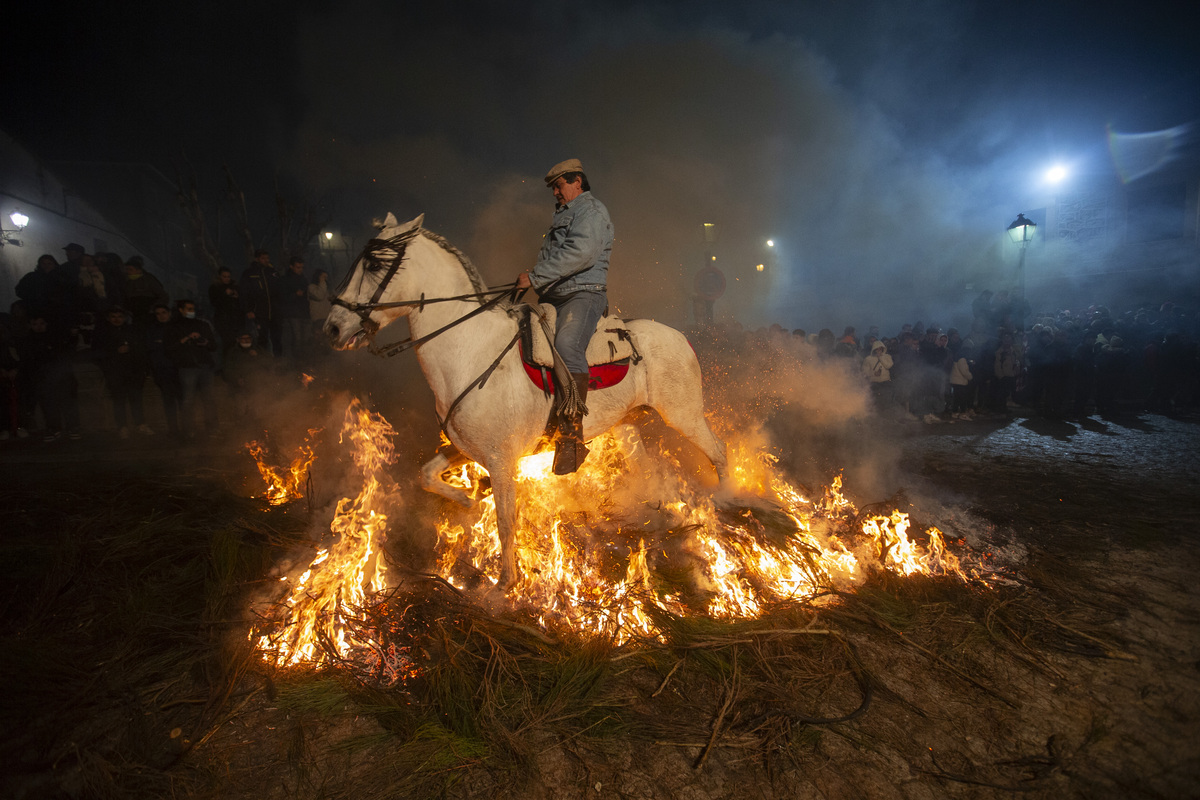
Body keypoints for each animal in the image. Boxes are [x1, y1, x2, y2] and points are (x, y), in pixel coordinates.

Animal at [324, 212, 724, 587]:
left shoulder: (502, 460)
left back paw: (724, 498)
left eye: (374, 264)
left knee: (717, 451)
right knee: (644, 462)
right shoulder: (467, 446)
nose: (333, 327)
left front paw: (506, 583)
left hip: (684, 415)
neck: (470, 350)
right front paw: (470, 498)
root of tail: (679, 336)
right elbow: (426, 476)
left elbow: (505, 521)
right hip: (626, 424)